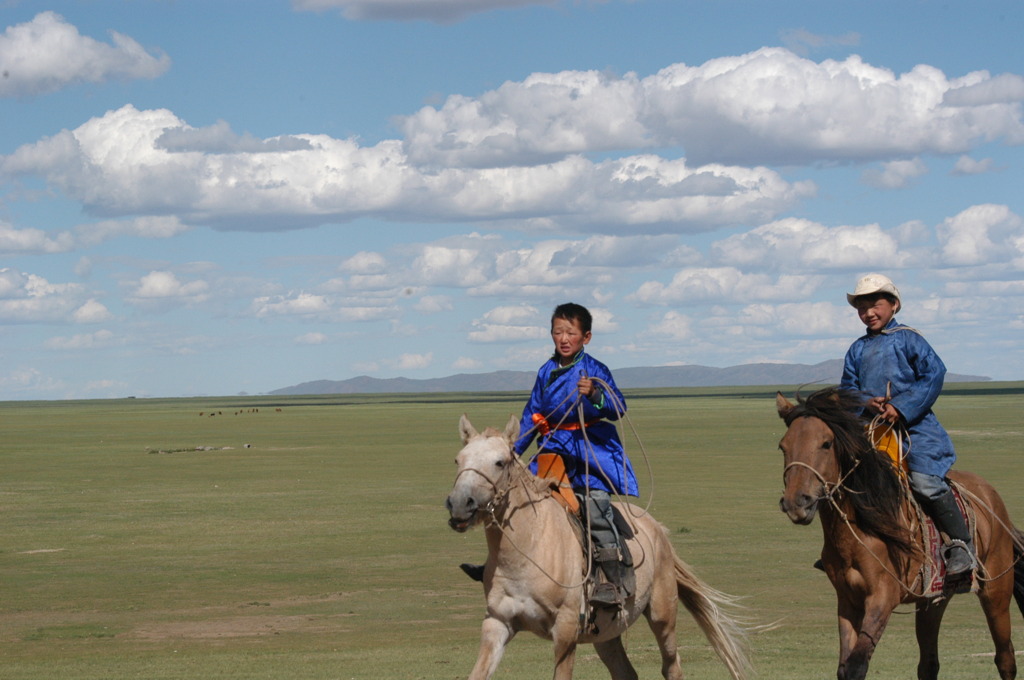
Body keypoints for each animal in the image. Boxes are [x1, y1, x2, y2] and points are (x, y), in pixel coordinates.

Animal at [448, 413, 753, 680]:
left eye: (499, 462)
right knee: (625, 673)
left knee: (672, 667)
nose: (460, 504)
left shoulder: (566, 630)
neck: (527, 551)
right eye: (458, 460)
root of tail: (658, 530)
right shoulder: (497, 623)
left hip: (663, 616)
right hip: (607, 632)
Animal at [774, 387, 1024, 680]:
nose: (796, 502)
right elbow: (844, 667)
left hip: (996, 593)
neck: (862, 530)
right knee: (928, 663)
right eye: (783, 446)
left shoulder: (882, 597)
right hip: (933, 600)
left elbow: (856, 665)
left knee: (1005, 658)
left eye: (826, 443)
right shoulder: (848, 600)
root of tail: (992, 497)